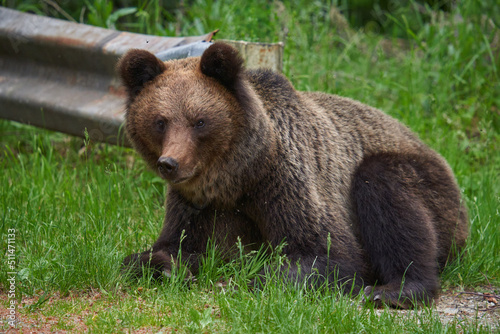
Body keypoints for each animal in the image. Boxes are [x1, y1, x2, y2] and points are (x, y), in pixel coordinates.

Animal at [118, 41, 468, 308]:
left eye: (199, 121)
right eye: (160, 121)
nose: (170, 163)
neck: (237, 176)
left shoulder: (287, 182)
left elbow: (327, 254)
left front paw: (243, 278)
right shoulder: (196, 205)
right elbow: (164, 248)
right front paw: (165, 265)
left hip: (430, 186)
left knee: (388, 192)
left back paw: (396, 289)